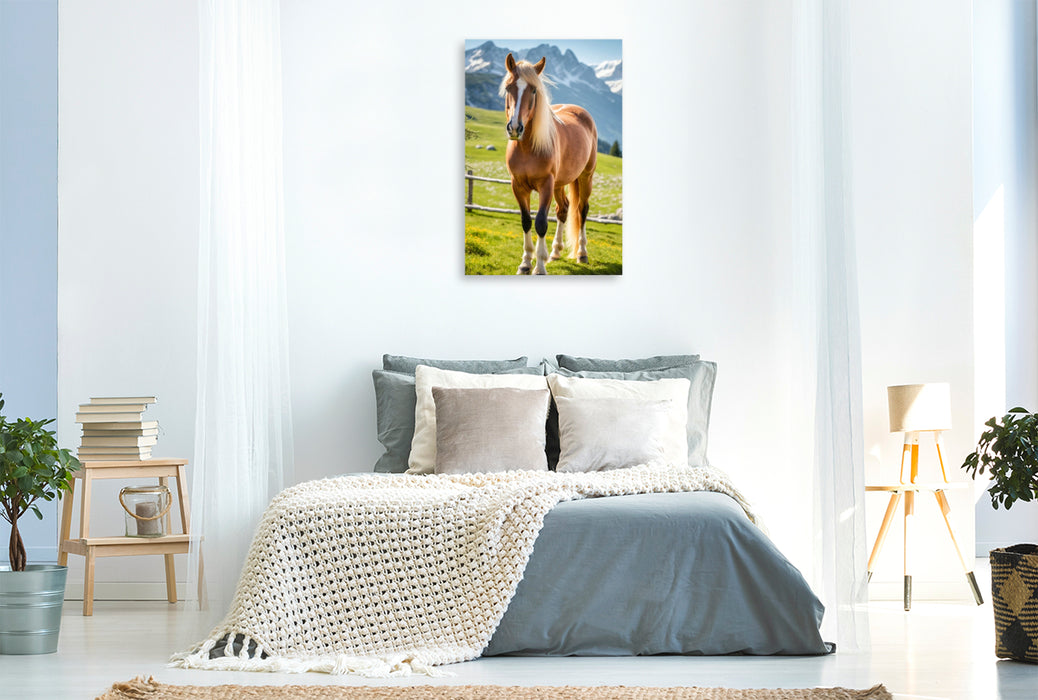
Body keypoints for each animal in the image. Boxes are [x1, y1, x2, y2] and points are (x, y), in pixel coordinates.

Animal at [499, 53, 598, 275]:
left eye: (534, 90)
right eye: (508, 88)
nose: (515, 128)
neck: (527, 148)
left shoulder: (546, 185)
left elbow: (541, 223)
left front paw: (539, 267)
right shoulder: (518, 186)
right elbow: (526, 221)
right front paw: (526, 263)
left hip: (585, 177)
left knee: (581, 210)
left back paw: (582, 254)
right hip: (560, 183)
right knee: (563, 209)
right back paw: (555, 252)